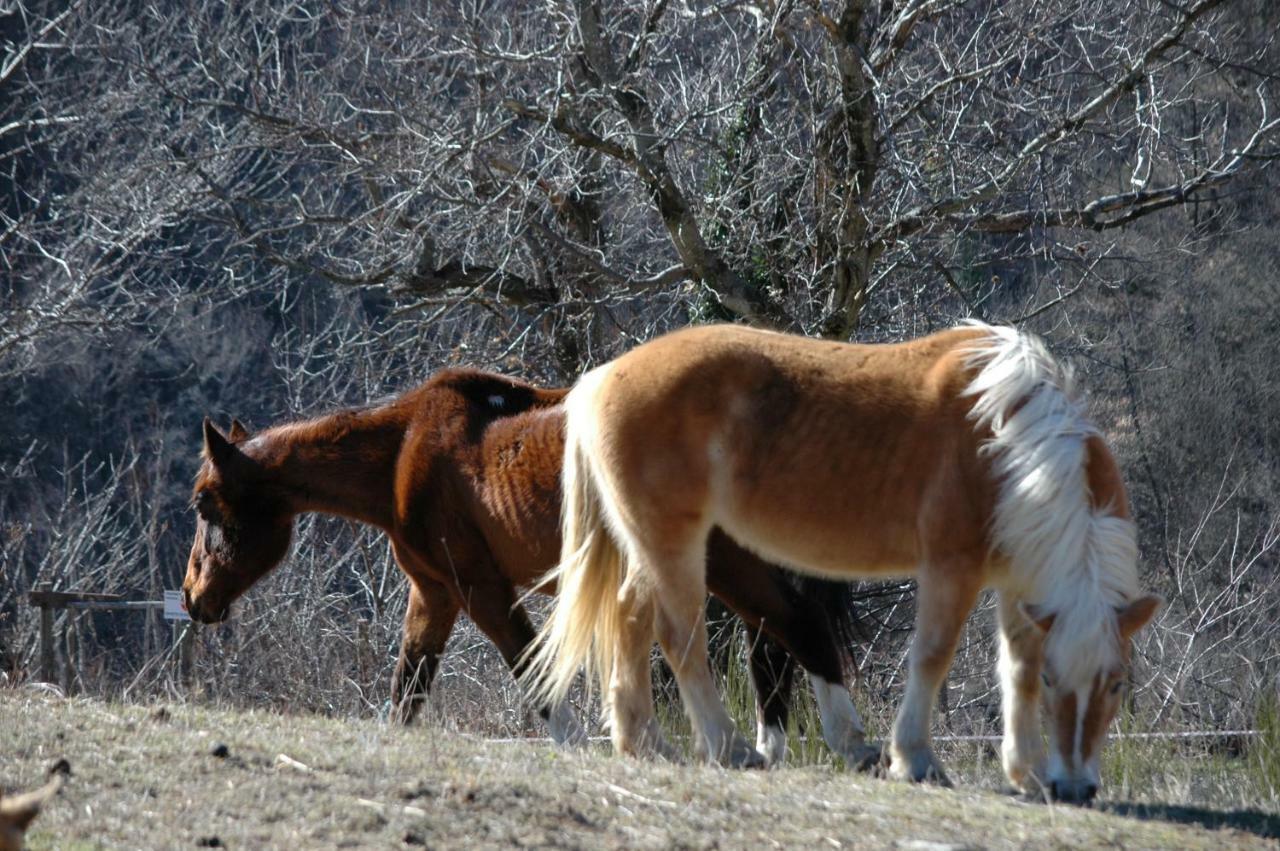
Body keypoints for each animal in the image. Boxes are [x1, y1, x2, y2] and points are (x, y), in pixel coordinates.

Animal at [183, 368, 870, 757]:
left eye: (204, 505)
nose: (194, 598)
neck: (403, 452)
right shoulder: (435, 595)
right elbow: (409, 687)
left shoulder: (480, 589)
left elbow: (532, 670)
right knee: (774, 650)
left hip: (725, 566)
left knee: (798, 627)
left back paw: (844, 744)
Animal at [524, 319, 1167, 803]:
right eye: (1067, 682)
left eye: (1116, 683)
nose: (1075, 788)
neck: (1007, 443)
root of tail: (601, 378)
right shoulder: (951, 569)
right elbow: (933, 657)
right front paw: (915, 760)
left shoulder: (1016, 584)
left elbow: (1017, 671)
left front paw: (1026, 772)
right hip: (675, 546)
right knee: (679, 637)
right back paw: (729, 748)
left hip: (650, 548)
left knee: (630, 618)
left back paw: (644, 743)